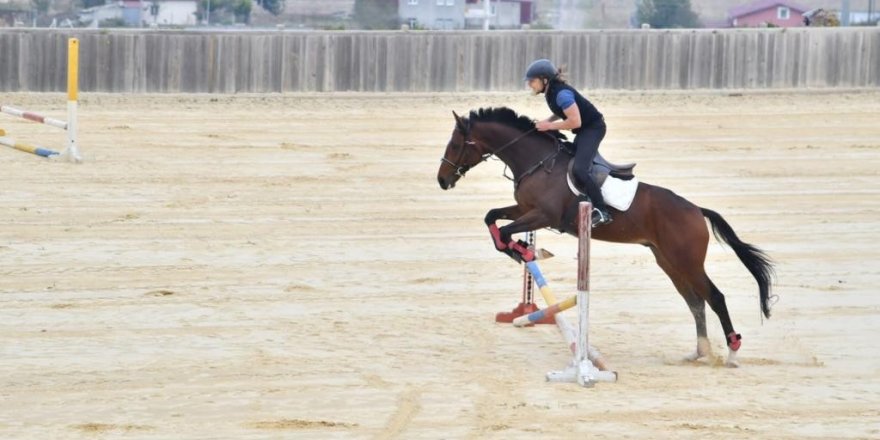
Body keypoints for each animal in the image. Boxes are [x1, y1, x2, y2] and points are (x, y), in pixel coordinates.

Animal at [436, 107, 772, 368]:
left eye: (455, 144)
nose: (442, 180)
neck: (538, 162)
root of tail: (696, 210)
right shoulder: (524, 209)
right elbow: (491, 217)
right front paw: (521, 250)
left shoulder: (544, 215)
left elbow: (505, 230)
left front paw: (522, 251)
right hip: (668, 261)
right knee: (695, 301)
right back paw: (698, 353)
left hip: (687, 260)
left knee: (715, 297)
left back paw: (732, 353)